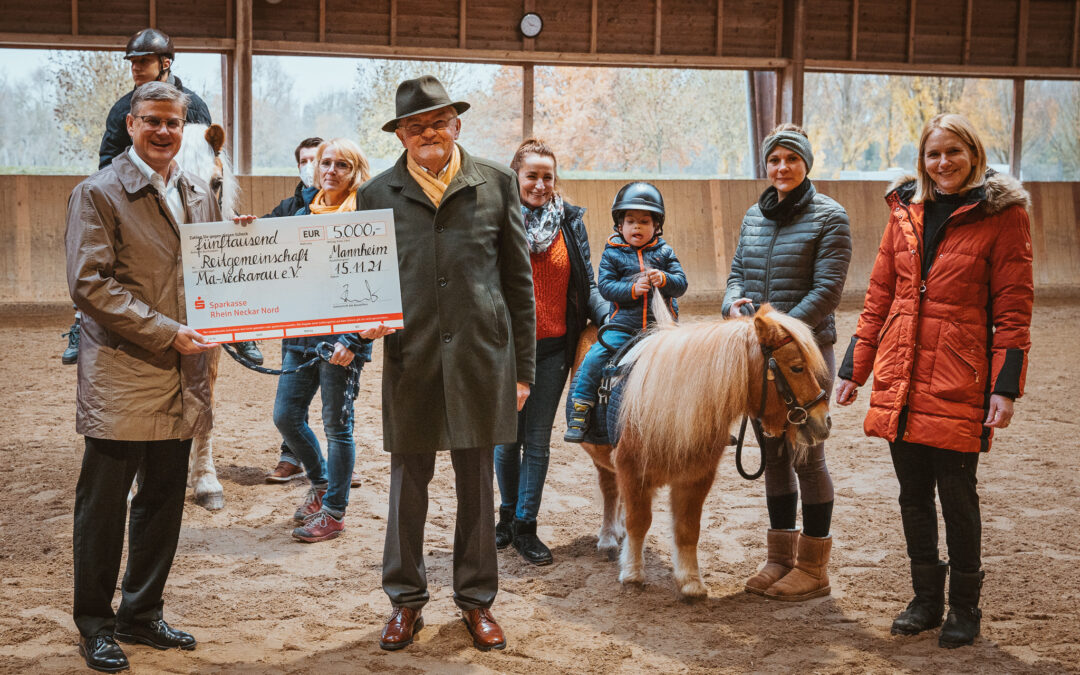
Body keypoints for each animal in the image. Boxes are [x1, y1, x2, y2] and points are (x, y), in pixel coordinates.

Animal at [578, 298, 829, 596]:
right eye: (797, 367)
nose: (824, 420)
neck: (671, 405)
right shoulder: (633, 471)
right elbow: (639, 522)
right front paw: (632, 573)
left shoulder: (696, 478)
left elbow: (688, 529)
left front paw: (691, 582)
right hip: (602, 459)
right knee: (609, 491)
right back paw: (608, 537)